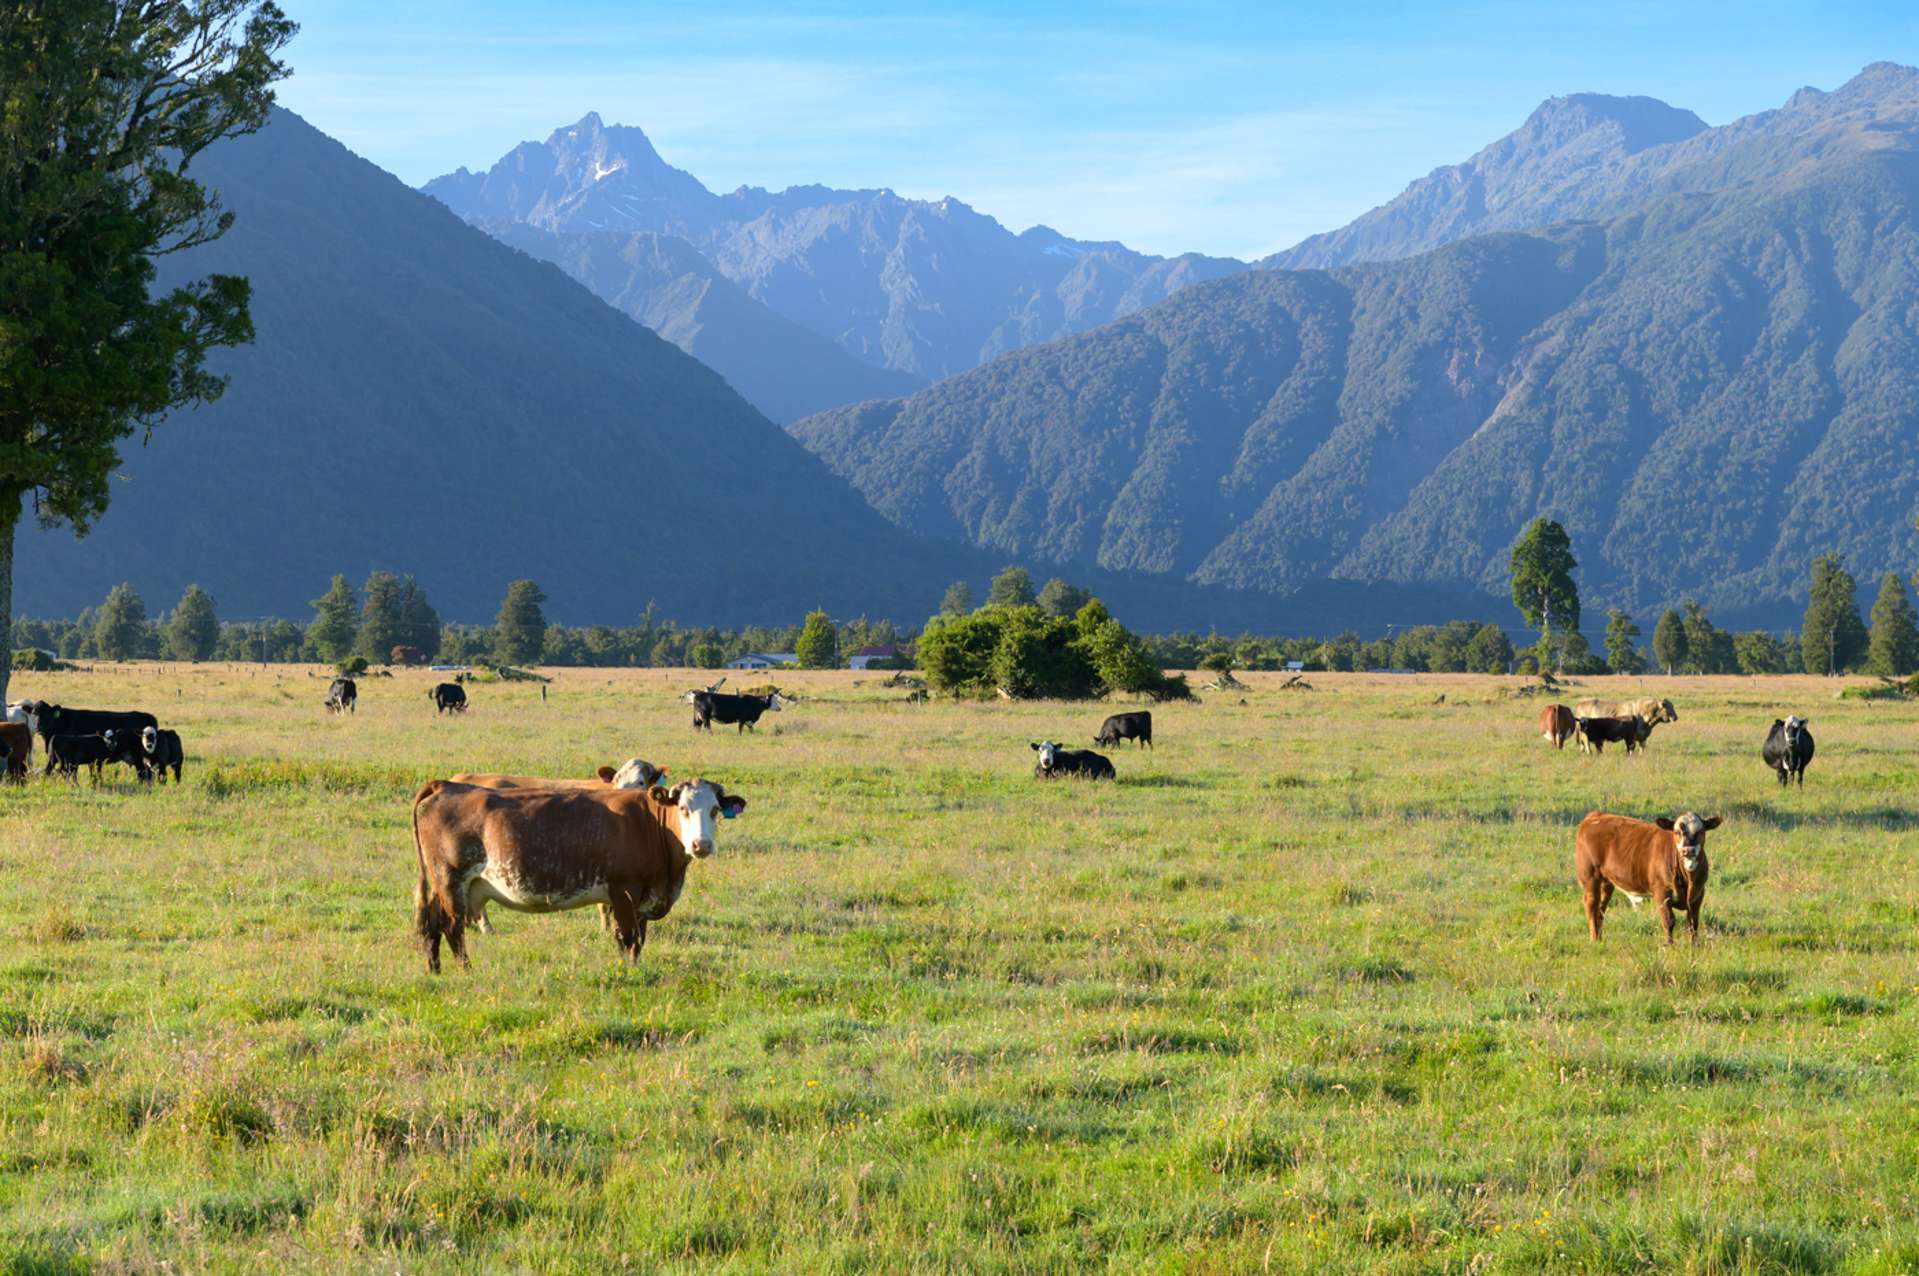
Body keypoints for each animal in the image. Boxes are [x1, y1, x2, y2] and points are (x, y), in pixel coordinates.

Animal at [408, 771, 744, 970]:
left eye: (715, 810)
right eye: (684, 808)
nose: (701, 844)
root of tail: (446, 785)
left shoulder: (643, 899)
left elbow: (639, 939)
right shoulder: (624, 891)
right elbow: (628, 938)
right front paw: (630, 974)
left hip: (441, 884)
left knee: (432, 925)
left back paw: (435, 970)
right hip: (451, 879)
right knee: (452, 927)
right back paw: (466, 971)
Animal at [1573, 809, 1727, 940]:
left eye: (1701, 831)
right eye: (1676, 832)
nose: (1688, 850)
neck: (1688, 880)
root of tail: (1596, 815)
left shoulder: (1698, 893)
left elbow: (1693, 923)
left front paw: (1695, 947)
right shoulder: (1661, 891)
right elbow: (1669, 921)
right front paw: (1669, 946)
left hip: (1606, 882)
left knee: (1600, 910)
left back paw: (1600, 939)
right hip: (1590, 877)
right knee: (1592, 907)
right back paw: (1594, 940)